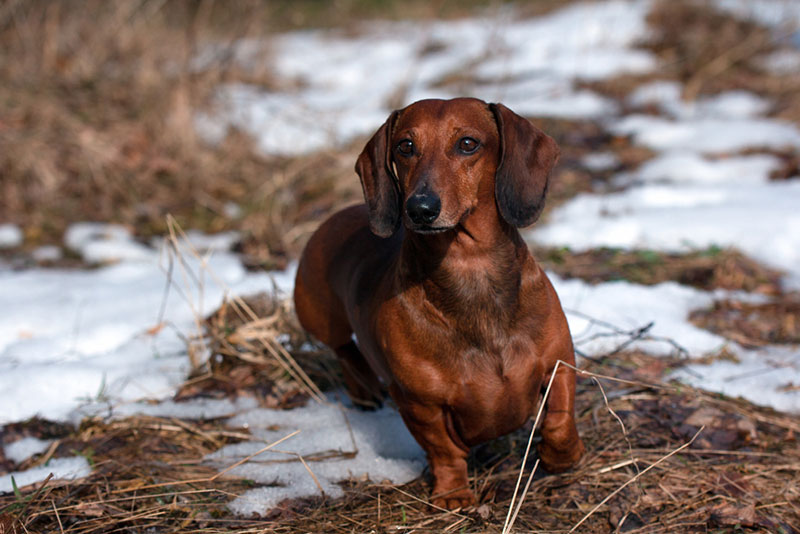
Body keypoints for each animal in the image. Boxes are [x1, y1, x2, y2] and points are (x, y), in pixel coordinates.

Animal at [296, 97, 584, 510]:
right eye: (404, 146)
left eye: (467, 144)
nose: (419, 209)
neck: (470, 269)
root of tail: (334, 217)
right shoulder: (420, 404)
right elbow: (444, 449)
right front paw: (453, 493)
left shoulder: (559, 362)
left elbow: (559, 419)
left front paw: (563, 457)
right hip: (319, 318)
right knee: (343, 349)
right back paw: (364, 389)